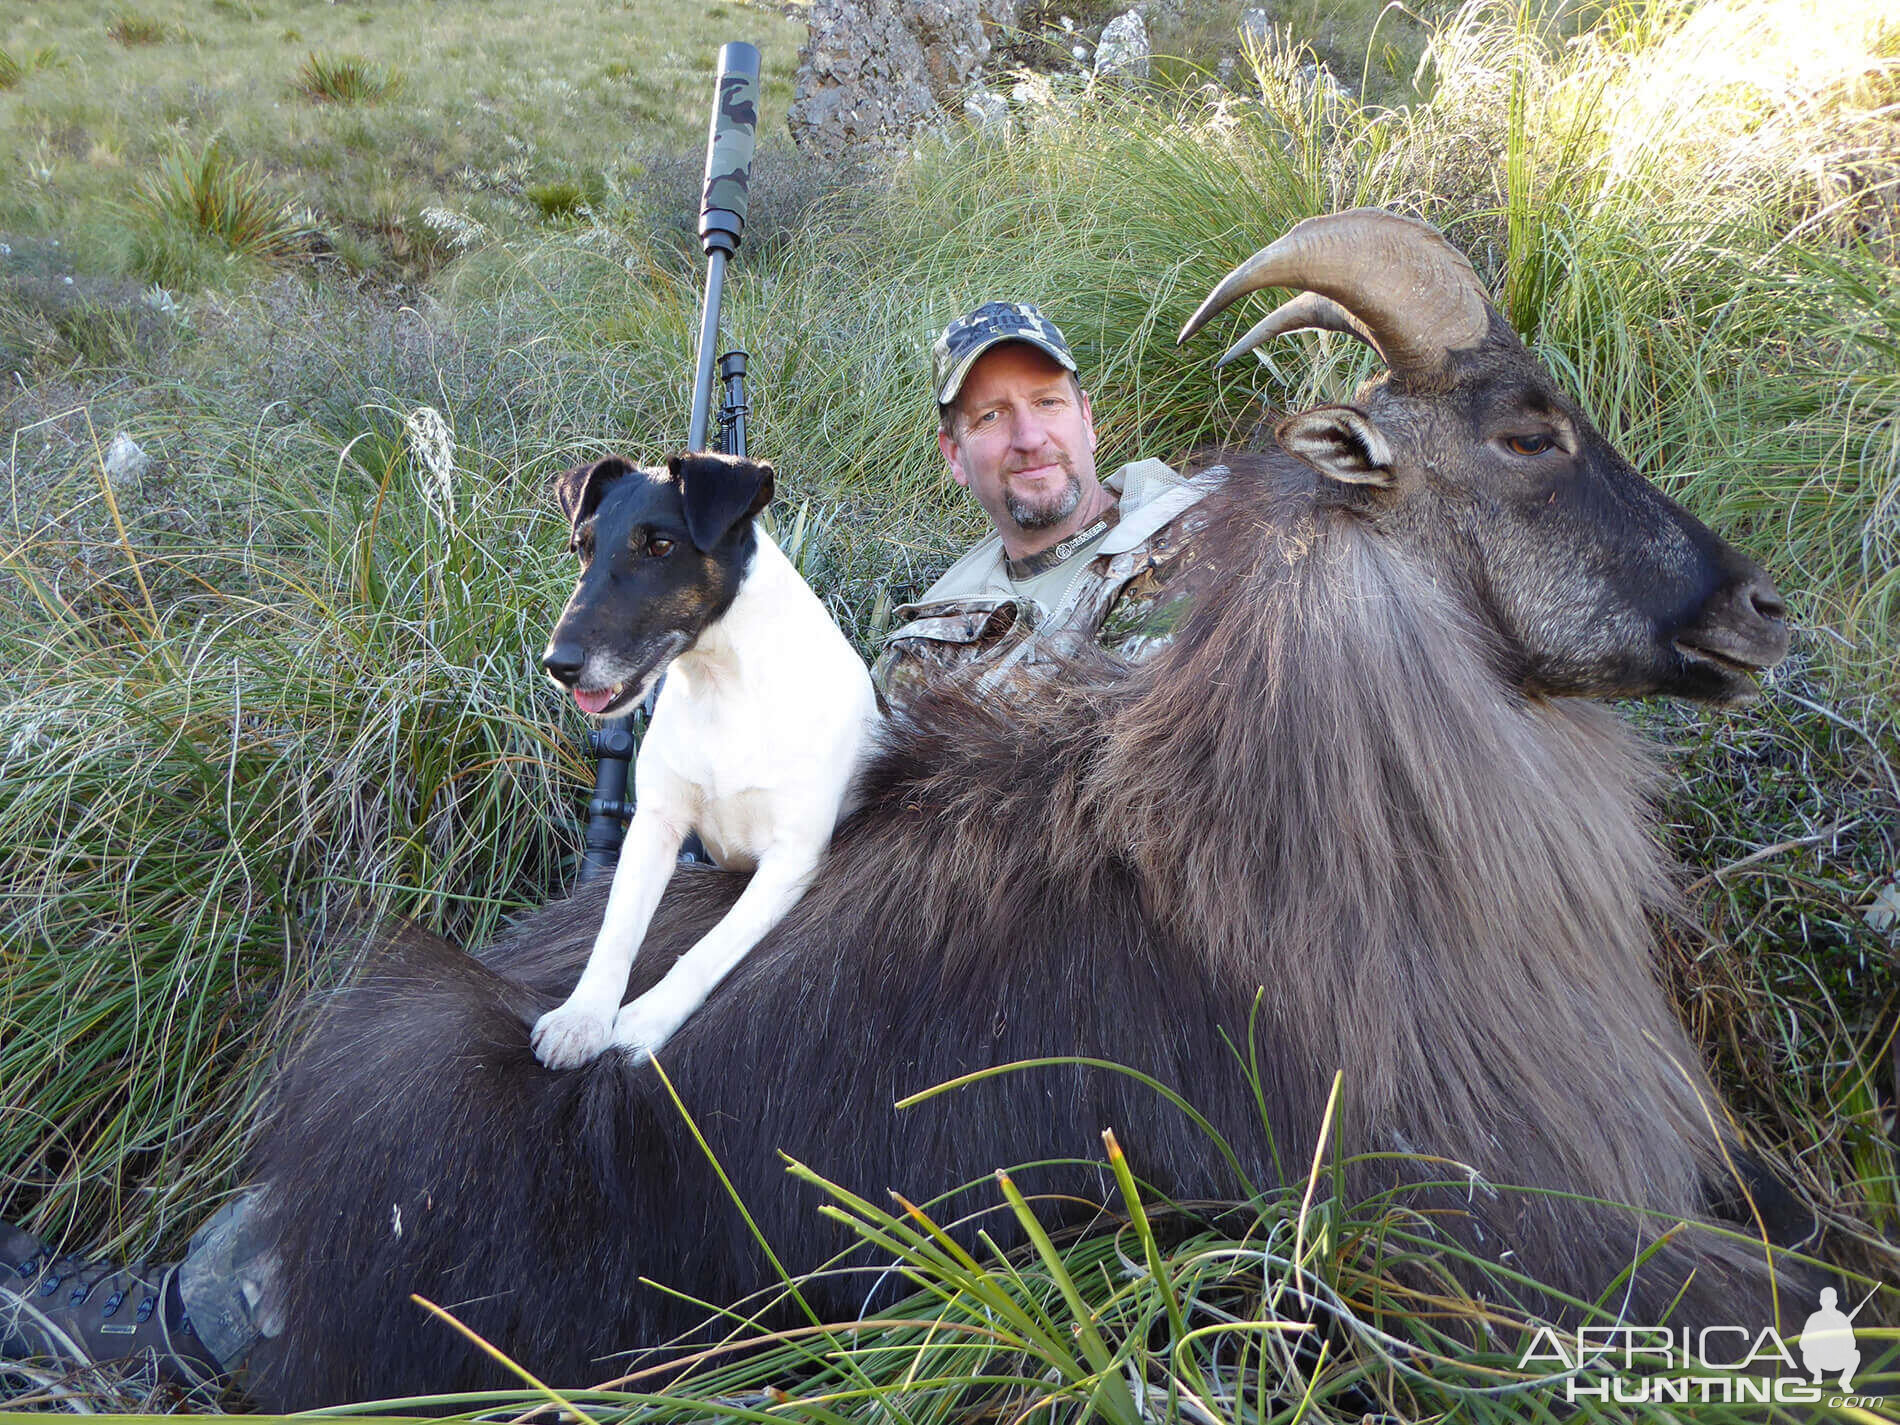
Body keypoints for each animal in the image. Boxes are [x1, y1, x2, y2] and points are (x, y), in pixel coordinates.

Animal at [532, 452, 877, 1064]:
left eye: (661, 546)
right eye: (583, 547)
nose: (558, 664)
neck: (725, 691)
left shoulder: (792, 861)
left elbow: (706, 950)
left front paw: (642, 1021)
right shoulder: (656, 825)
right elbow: (614, 934)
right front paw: (582, 1017)